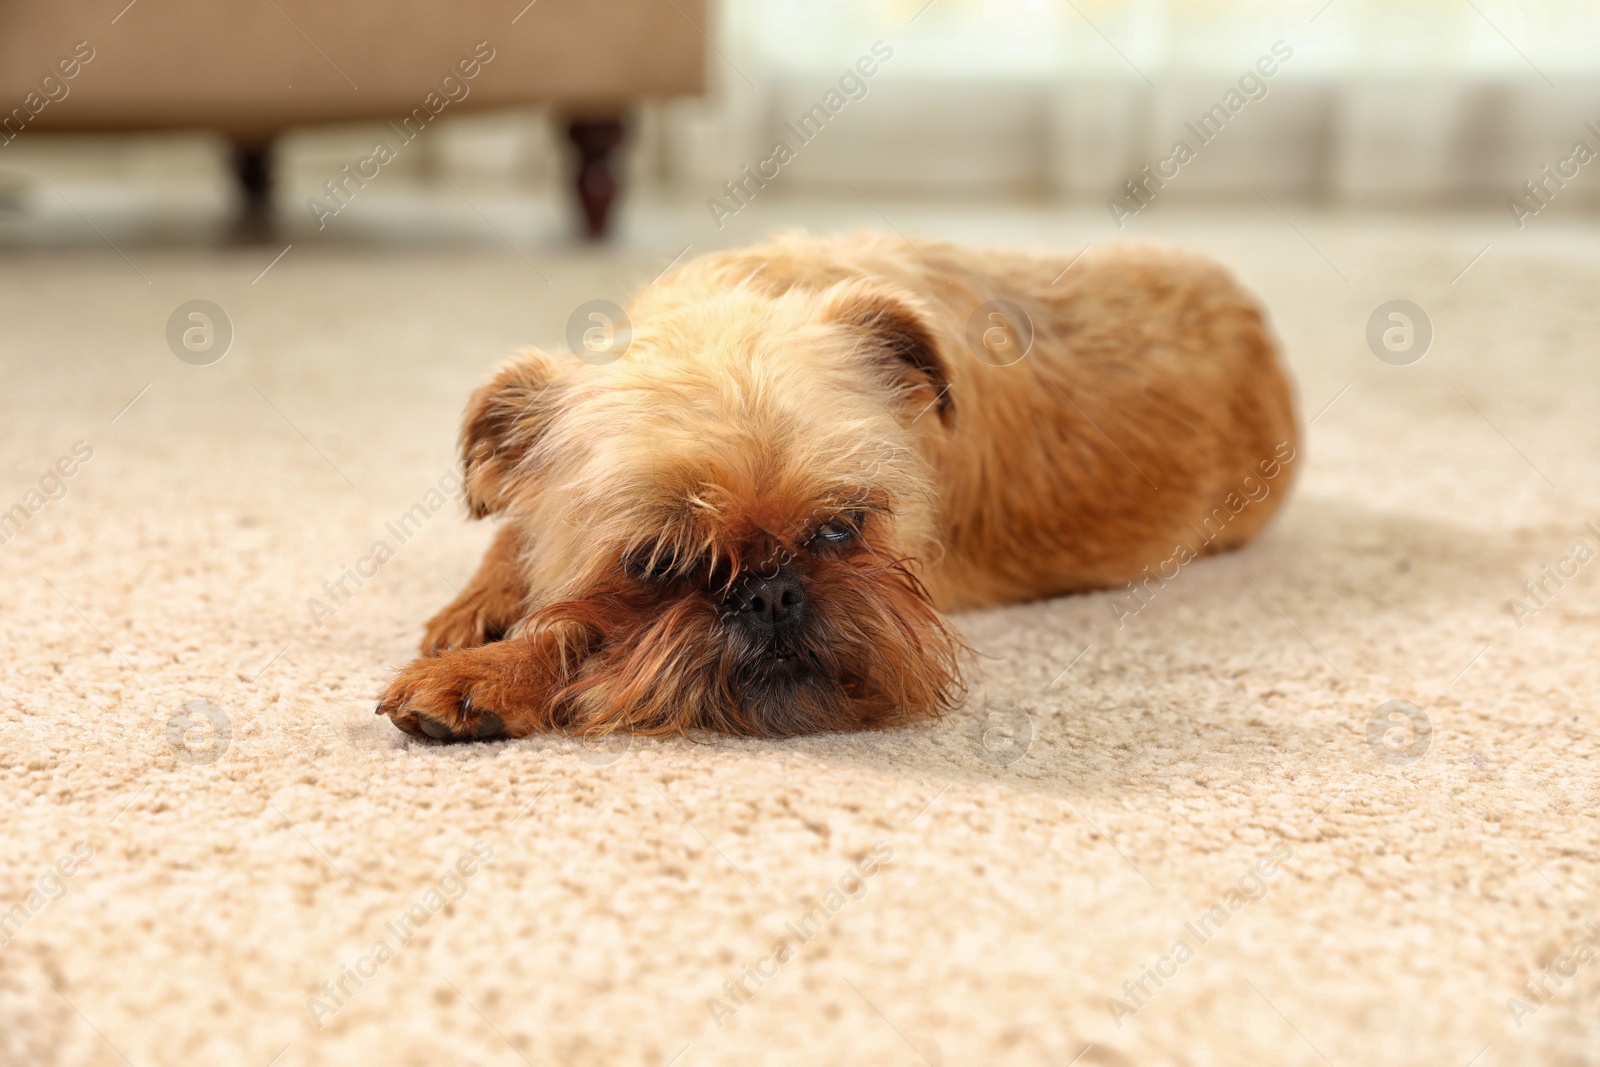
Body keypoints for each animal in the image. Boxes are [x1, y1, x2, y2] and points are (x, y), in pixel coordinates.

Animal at [377, 231, 1299, 742]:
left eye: (841, 528)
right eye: (657, 563)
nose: (771, 594)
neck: (729, 307)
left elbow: (572, 625)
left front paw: (491, 669)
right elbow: (520, 540)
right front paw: (485, 605)